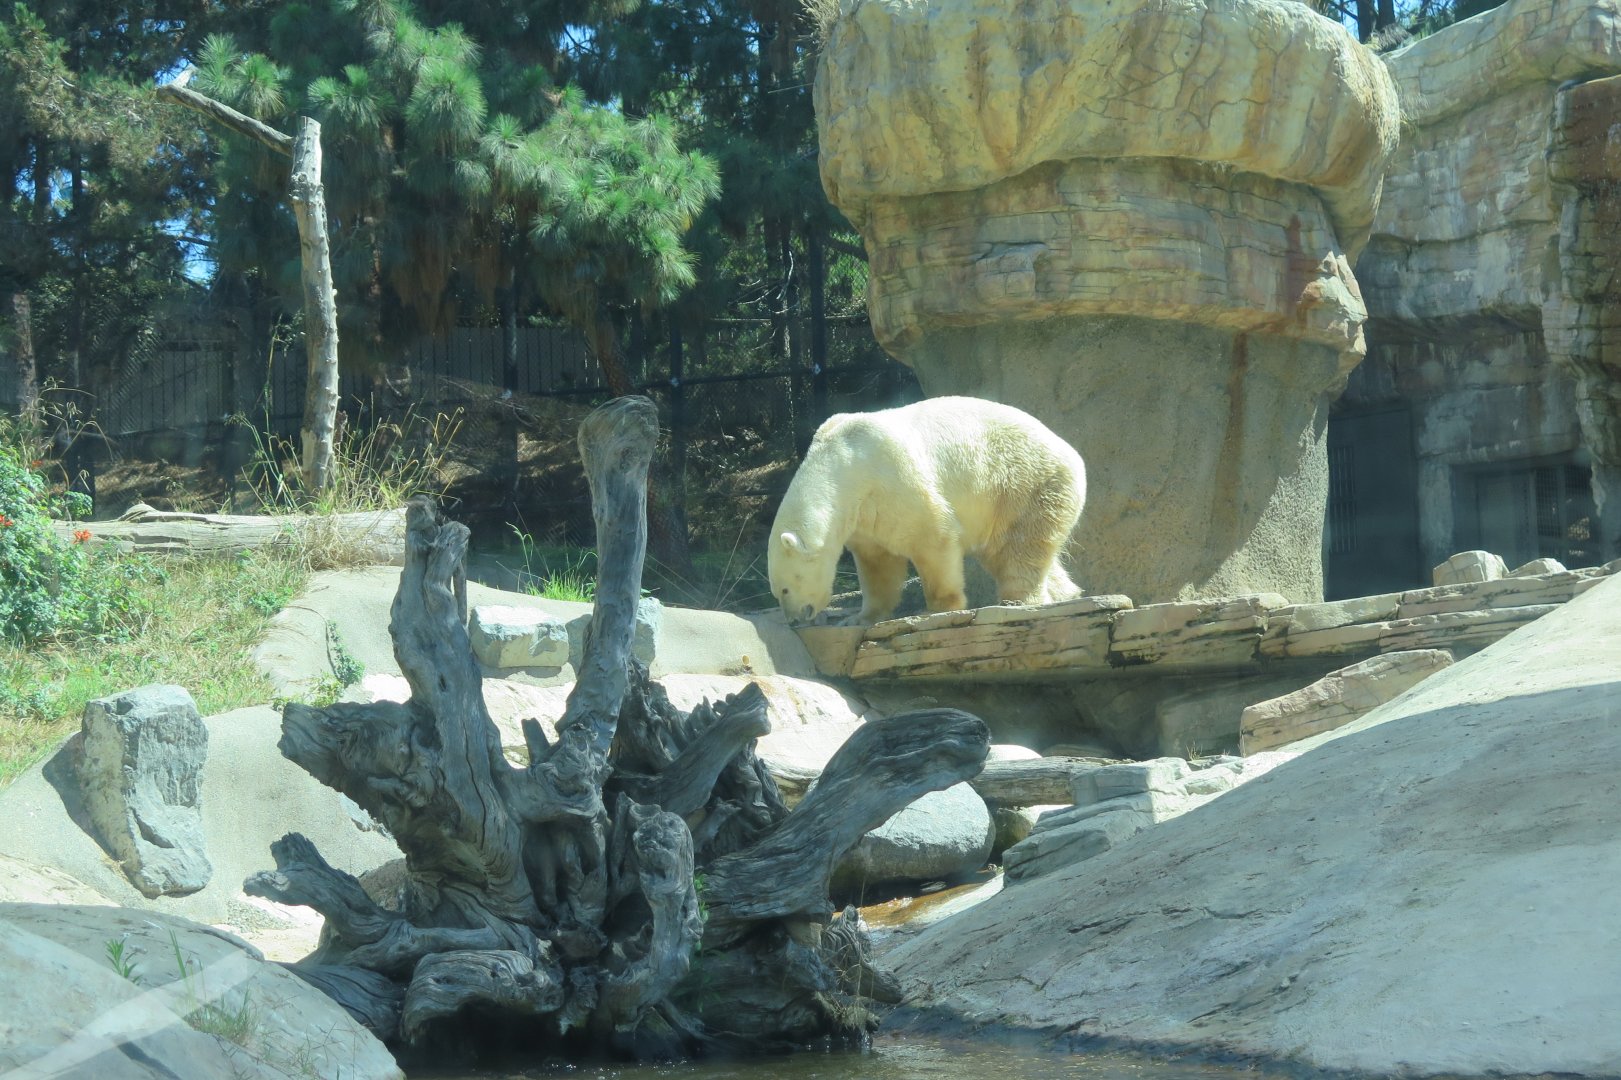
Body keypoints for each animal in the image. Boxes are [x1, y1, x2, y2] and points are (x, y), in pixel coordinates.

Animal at [768, 395, 1086, 626]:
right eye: (776, 592)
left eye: (785, 589)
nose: (793, 620)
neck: (840, 462)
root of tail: (1071, 453)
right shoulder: (864, 515)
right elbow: (877, 563)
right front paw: (859, 618)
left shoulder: (890, 478)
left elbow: (932, 535)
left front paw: (935, 609)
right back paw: (1067, 593)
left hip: (1022, 482)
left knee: (1019, 547)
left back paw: (1018, 601)